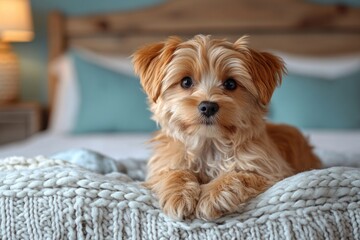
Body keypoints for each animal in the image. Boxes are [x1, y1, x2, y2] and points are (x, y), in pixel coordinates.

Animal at [131, 34, 320, 220]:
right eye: (186, 82)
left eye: (230, 84)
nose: (208, 106)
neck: (209, 143)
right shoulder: (163, 165)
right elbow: (174, 173)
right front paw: (178, 195)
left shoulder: (269, 171)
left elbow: (237, 176)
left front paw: (211, 197)